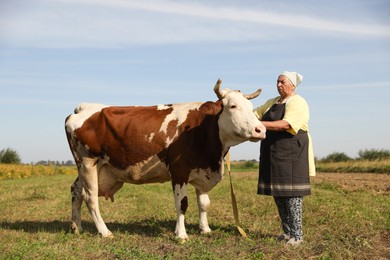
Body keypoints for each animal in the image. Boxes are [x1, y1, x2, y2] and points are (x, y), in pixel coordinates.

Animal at [64, 79, 266, 240]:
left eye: (251, 108)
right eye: (233, 106)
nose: (260, 129)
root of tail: (85, 107)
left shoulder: (202, 171)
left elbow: (204, 204)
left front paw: (205, 229)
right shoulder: (179, 170)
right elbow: (182, 204)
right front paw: (181, 234)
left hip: (93, 167)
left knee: (76, 190)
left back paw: (77, 227)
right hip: (87, 162)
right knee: (90, 197)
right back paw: (104, 232)